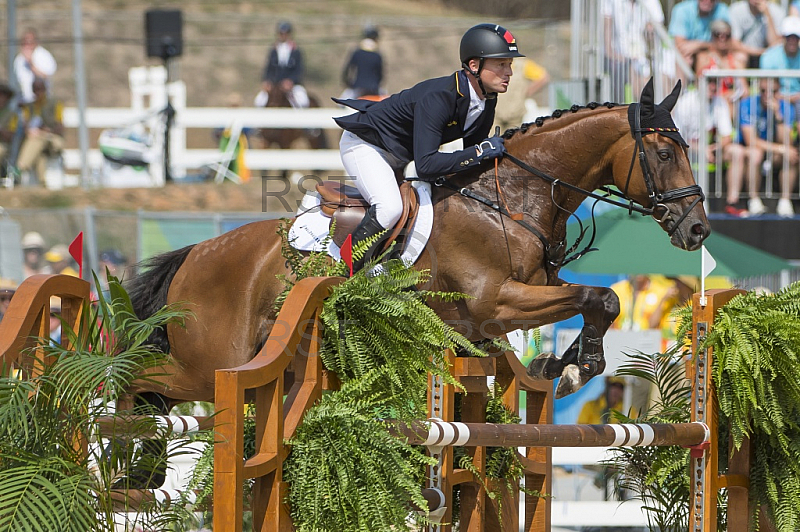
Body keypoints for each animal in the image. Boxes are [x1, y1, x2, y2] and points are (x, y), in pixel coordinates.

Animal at [128, 79, 708, 410]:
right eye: (662, 153)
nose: (698, 229)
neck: (511, 199)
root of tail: (196, 254)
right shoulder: (494, 303)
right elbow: (599, 297)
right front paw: (575, 367)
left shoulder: (527, 294)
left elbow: (594, 301)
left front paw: (561, 365)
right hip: (211, 365)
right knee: (138, 377)